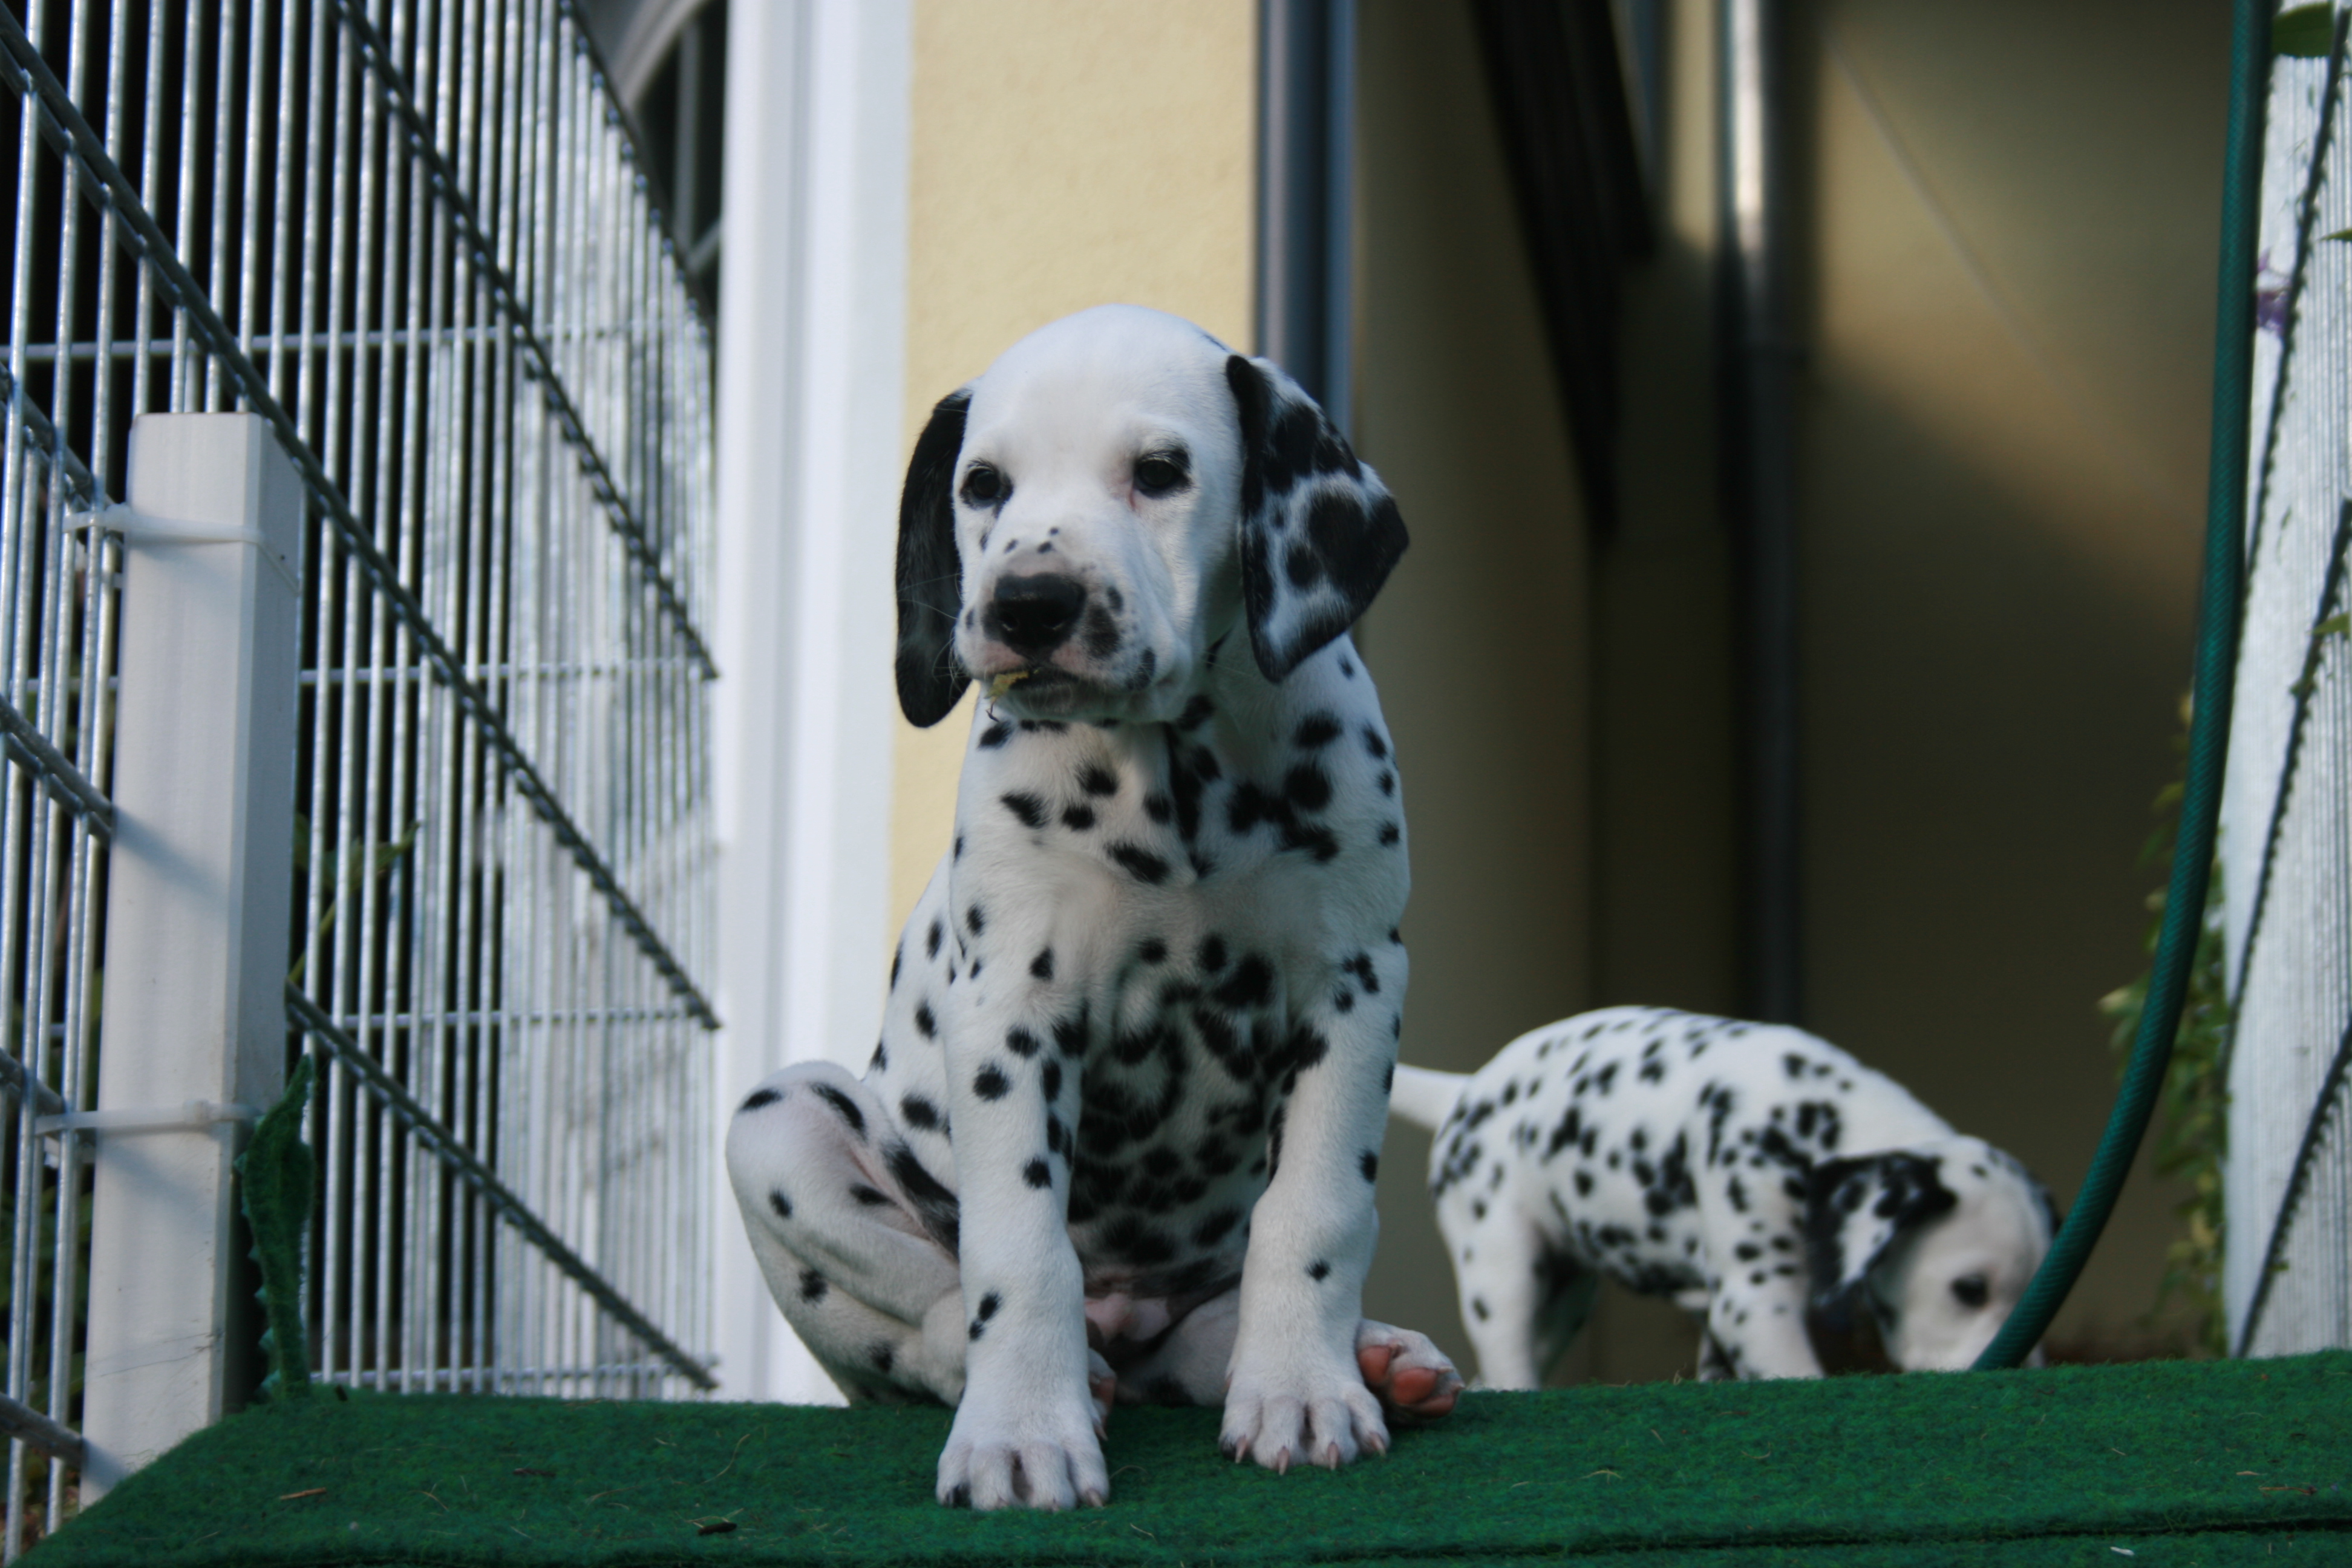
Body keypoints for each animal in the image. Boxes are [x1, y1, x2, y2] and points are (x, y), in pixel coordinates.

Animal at [725, 305, 1462, 1512]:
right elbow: (1020, 1251)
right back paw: (1008, 1368)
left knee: (1200, 1335)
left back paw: (1367, 1356)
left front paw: (1303, 1389)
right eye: (982, 486)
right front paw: (1022, 1430)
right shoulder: (1010, 1012)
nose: (1031, 605)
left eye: (1158, 473)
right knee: (915, 1330)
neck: (1175, 780)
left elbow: (1311, 1211)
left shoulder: (1352, 987)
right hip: (779, 1123)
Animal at [1388, 1006, 2058, 1385]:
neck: (1813, 1115)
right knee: (1508, 1368)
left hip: (1564, 1302)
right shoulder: (1755, 1301)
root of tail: (1463, 1093)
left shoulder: (1726, 1315)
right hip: (1503, 1277)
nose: (2018, 1373)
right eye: (1969, 1290)